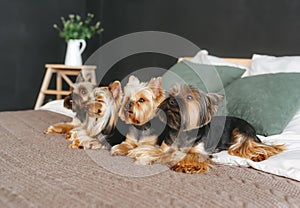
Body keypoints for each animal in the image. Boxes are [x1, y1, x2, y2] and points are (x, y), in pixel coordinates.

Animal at [135, 83, 284, 173]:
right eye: (172, 94)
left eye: (189, 97)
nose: (172, 100)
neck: (183, 132)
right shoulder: (166, 147)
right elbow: (157, 152)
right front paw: (144, 156)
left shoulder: (200, 151)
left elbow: (191, 156)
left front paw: (186, 165)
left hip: (241, 131)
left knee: (251, 146)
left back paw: (259, 155)